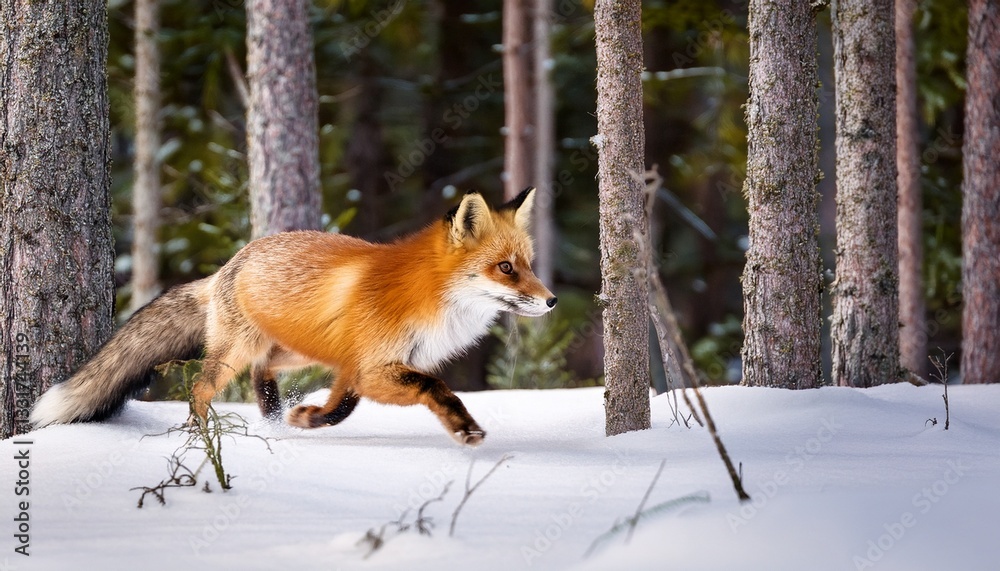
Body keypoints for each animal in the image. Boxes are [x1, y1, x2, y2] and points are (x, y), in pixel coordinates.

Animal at [30, 188, 556, 445]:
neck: (426, 298)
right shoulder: (374, 367)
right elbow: (435, 389)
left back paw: (274, 418)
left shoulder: (357, 368)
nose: (551, 301)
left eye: (529, 264)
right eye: (505, 268)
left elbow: (341, 407)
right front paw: (464, 428)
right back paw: (203, 436)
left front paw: (307, 420)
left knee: (263, 372)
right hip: (236, 353)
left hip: (296, 352)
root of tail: (229, 264)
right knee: (200, 388)